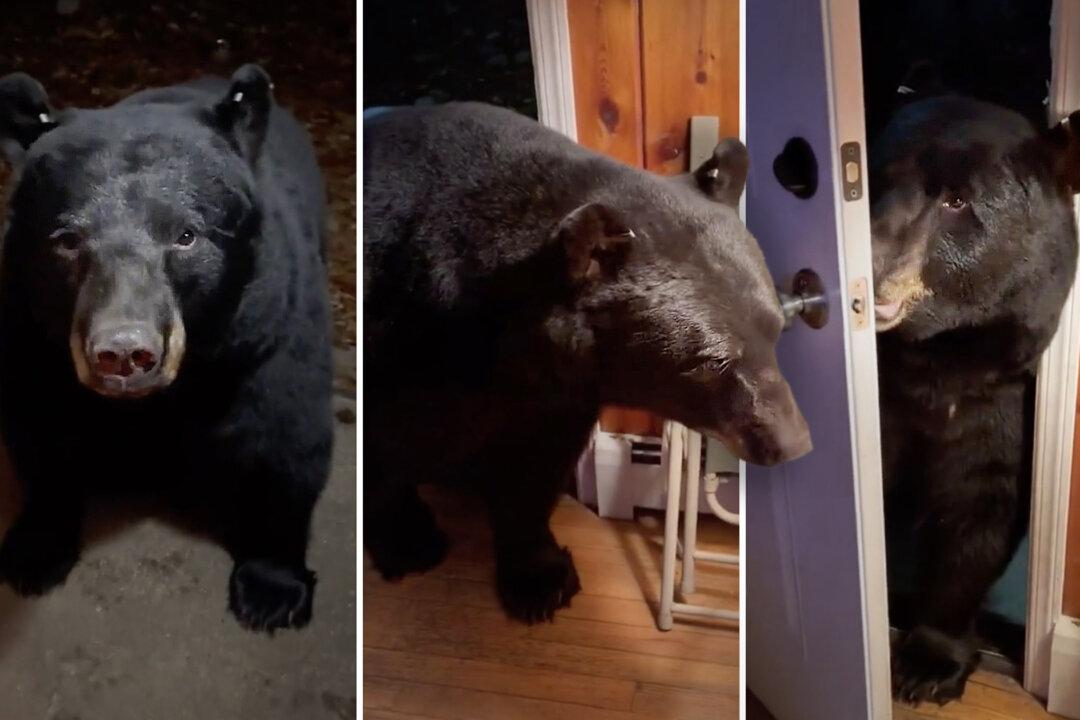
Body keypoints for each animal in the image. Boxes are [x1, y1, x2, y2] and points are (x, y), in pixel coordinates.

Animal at [0, 64, 334, 633]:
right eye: (67, 240)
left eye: (186, 235)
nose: (123, 352)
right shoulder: (33, 336)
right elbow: (40, 432)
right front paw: (35, 552)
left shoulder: (270, 331)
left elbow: (287, 442)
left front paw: (271, 591)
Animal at [363, 102, 812, 623]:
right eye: (711, 360)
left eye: (776, 328)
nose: (792, 442)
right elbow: (385, 453)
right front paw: (410, 542)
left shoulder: (558, 395)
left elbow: (537, 464)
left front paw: (540, 577)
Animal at [869, 92, 1080, 704]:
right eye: (876, 175)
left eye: (957, 199)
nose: (867, 261)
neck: (941, 359)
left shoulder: (1003, 400)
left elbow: (979, 507)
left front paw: (929, 662)